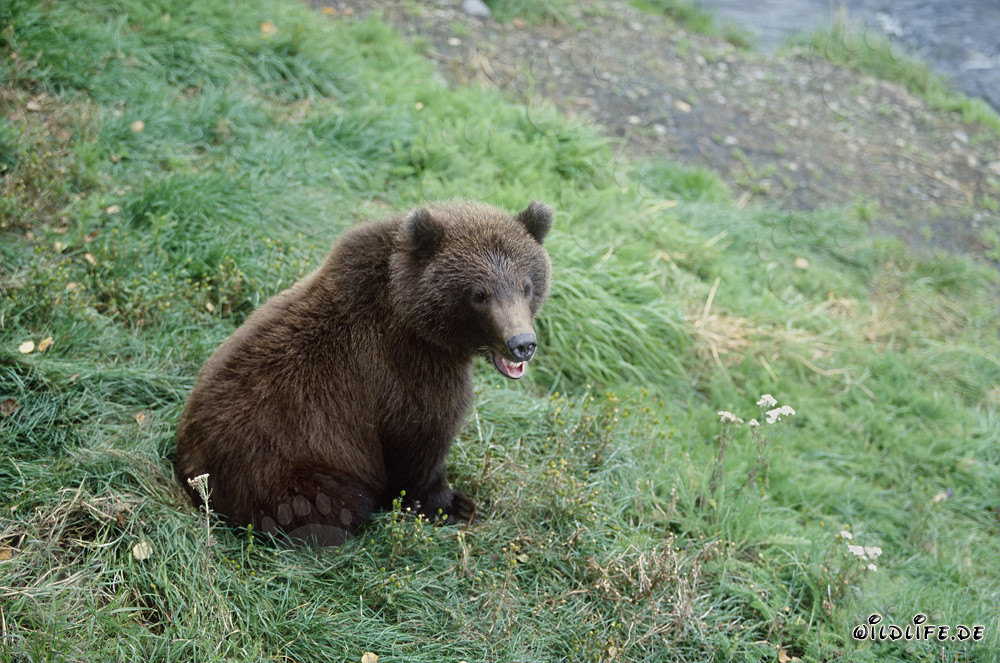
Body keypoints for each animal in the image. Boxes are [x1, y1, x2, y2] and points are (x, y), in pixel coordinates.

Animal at [174, 200, 553, 545]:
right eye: (479, 294)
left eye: (526, 286)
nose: (522, 343)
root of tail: (189, 467)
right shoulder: (406, 376)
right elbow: (423, 445)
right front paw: (454, 505)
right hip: (288, 468)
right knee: (332, 504)